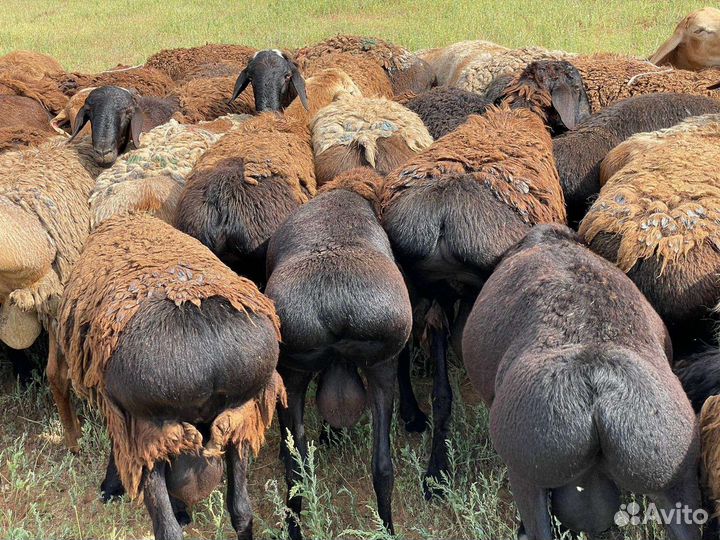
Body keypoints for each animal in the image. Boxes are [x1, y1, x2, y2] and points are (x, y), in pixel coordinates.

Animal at [57, 212, 284, 540]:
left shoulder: (123, 418)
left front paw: (111, 487)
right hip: (240, 417)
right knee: (241, 509)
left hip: (151, 430)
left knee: (167, 529)